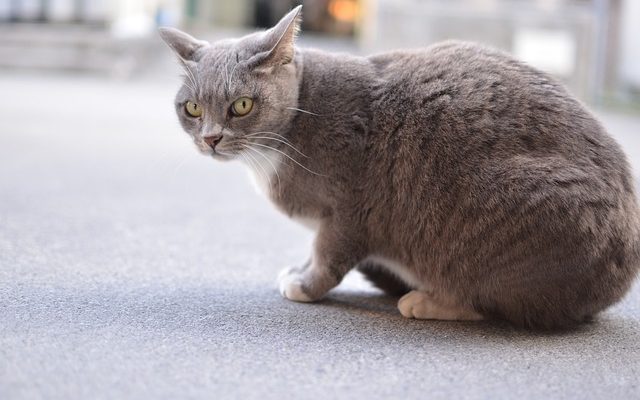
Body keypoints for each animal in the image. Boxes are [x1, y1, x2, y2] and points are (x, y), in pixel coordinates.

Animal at [160, 6, 640, 330]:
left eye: (241, 105)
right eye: (192, 108)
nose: (211, 138)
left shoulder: (351, 208)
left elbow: (328, 254)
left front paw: (304, 284)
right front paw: (298, 269)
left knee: (494, 305)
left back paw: (425, 301)